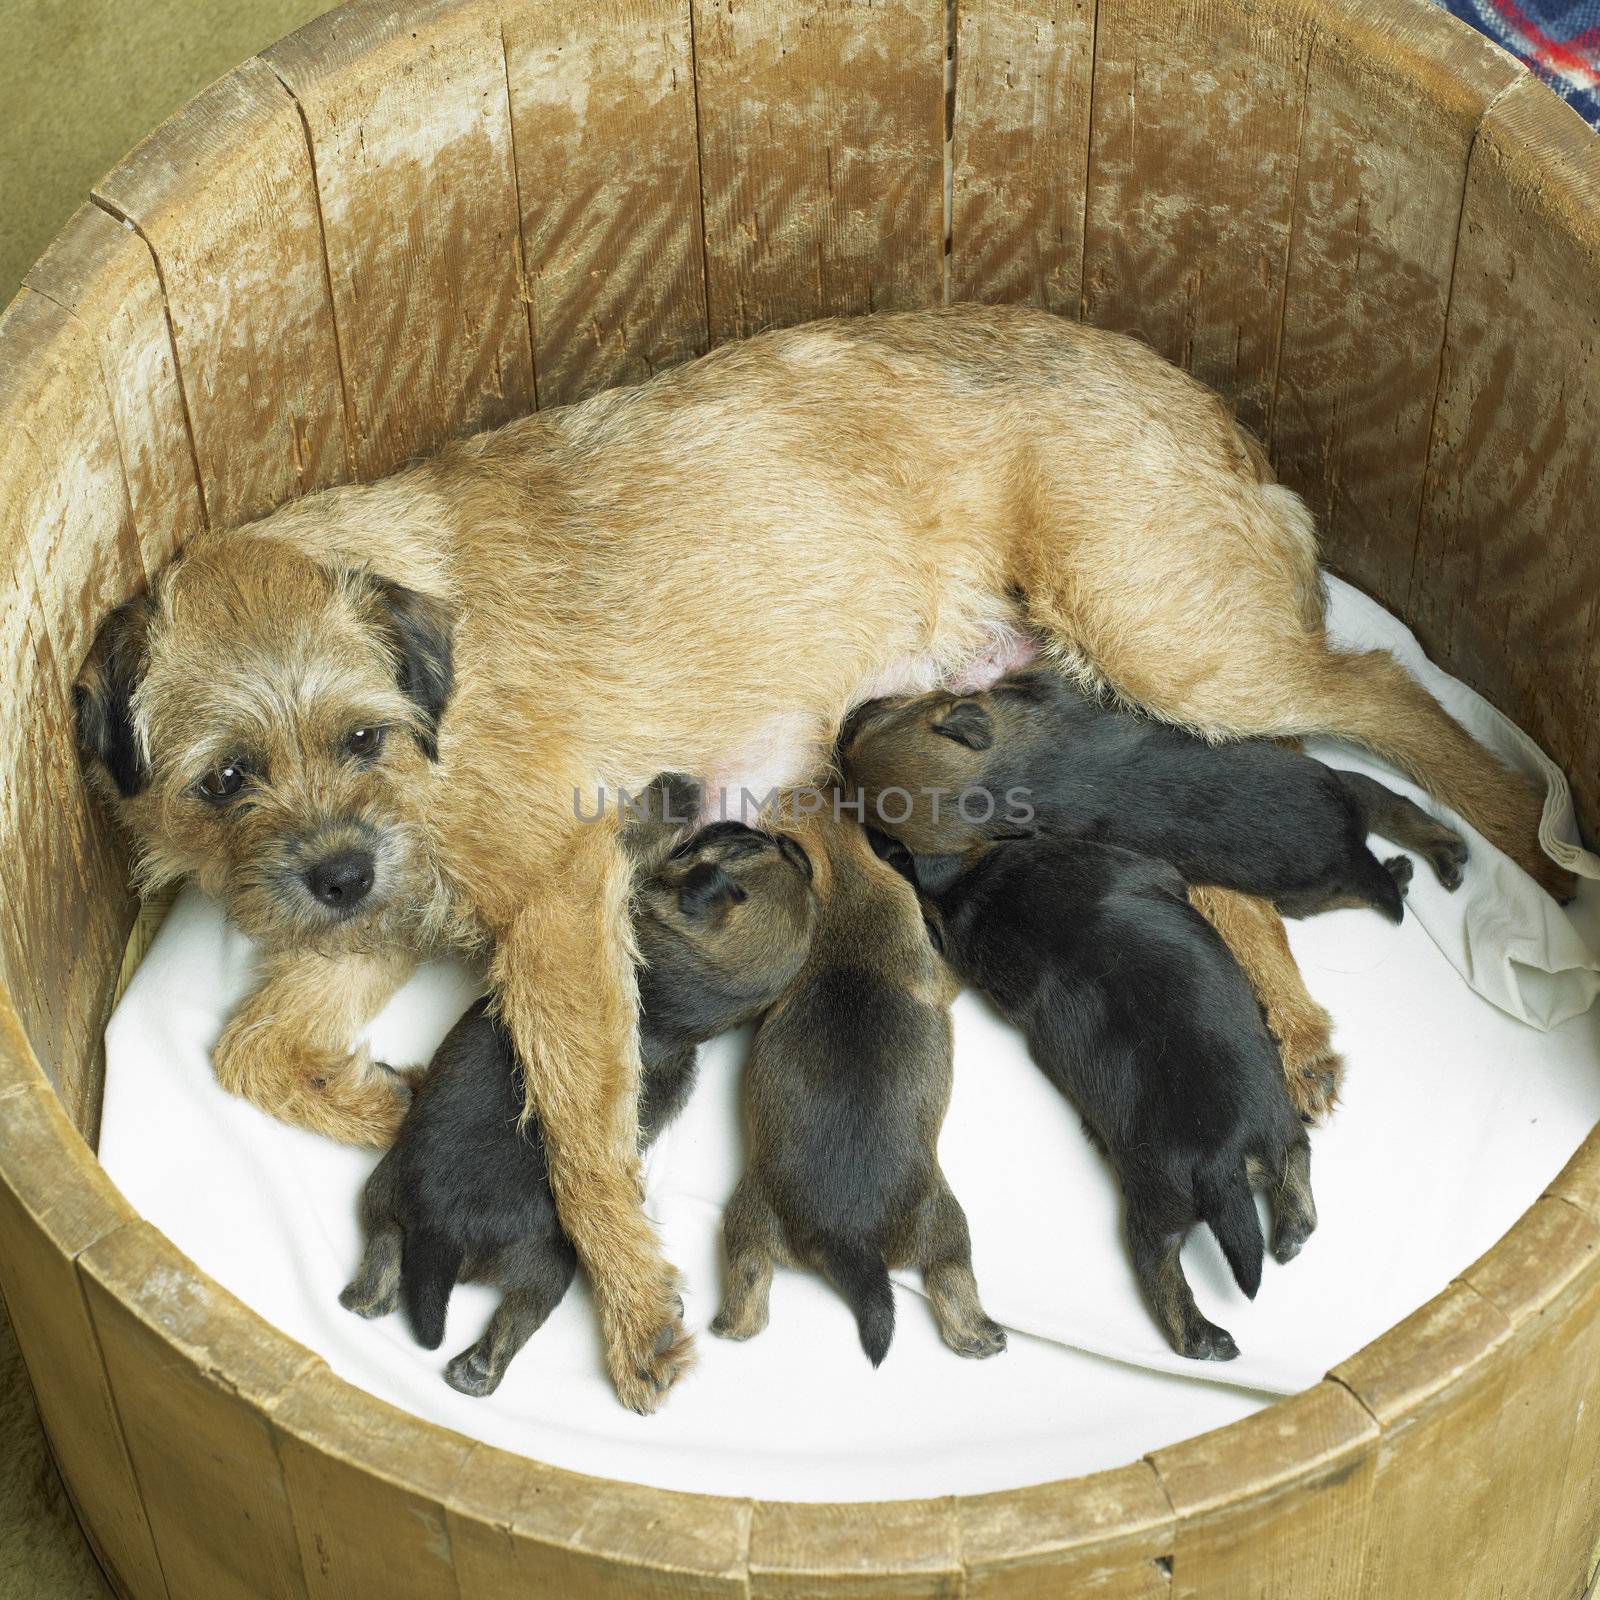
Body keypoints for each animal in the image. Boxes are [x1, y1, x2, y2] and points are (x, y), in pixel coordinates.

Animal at [337, 790, 812, 1401]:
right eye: (762, 847)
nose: (794, 844)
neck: (671, 1000)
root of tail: (440, 1230)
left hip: (465, 1229)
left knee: (453, 1289)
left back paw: (424, 1336)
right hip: (463, 1230)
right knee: (454, 1293)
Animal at [710, 812, 998, 1363]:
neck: (844, 877)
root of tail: (852, 1241)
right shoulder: (935, 967)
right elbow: (946, 959)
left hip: (747, 1218)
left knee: (750, 1277)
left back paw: (729, 1324)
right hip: (945, 1220)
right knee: (952, 1276)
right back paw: (980, 1334)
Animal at [844, 668, 1465, 921]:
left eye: (875, 719)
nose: (849, 715)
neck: (1003, 775)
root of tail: (1351, 846)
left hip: (1338, 791)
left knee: (1397, 811)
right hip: (1320, 851)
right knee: (1391, 821)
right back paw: (1423, 863)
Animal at [908, 838, 1318, 1363]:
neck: (989, 886)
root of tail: (1222, 1161)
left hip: (1243, 1138)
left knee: (1293, 1156)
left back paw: (1285, 1239)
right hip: (1176, 1191)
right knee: (1167, 1266)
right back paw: (1214, 1329)